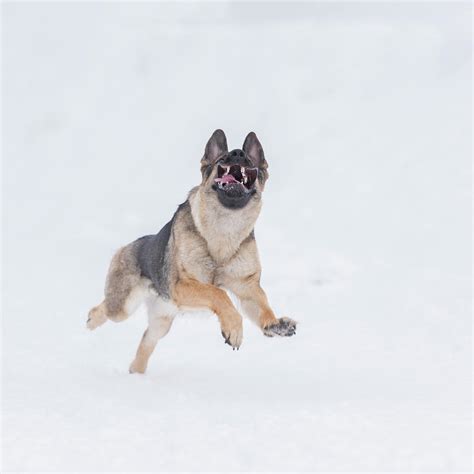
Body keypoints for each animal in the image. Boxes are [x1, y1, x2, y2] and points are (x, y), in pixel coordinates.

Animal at [86, 131, 296, 374]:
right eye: (222, 159)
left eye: (250, 161)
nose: (238, 153)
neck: (223, 230)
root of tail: (128, 247)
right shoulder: (183, 285)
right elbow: (218, 293)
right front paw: (233, 328)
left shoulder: (246, 287)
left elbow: (262, 305)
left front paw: (274, 324)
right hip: (123, 307)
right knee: (106, 309)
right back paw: (91, 320)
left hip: (163, 320)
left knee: (147, 340)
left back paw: (136, 372)